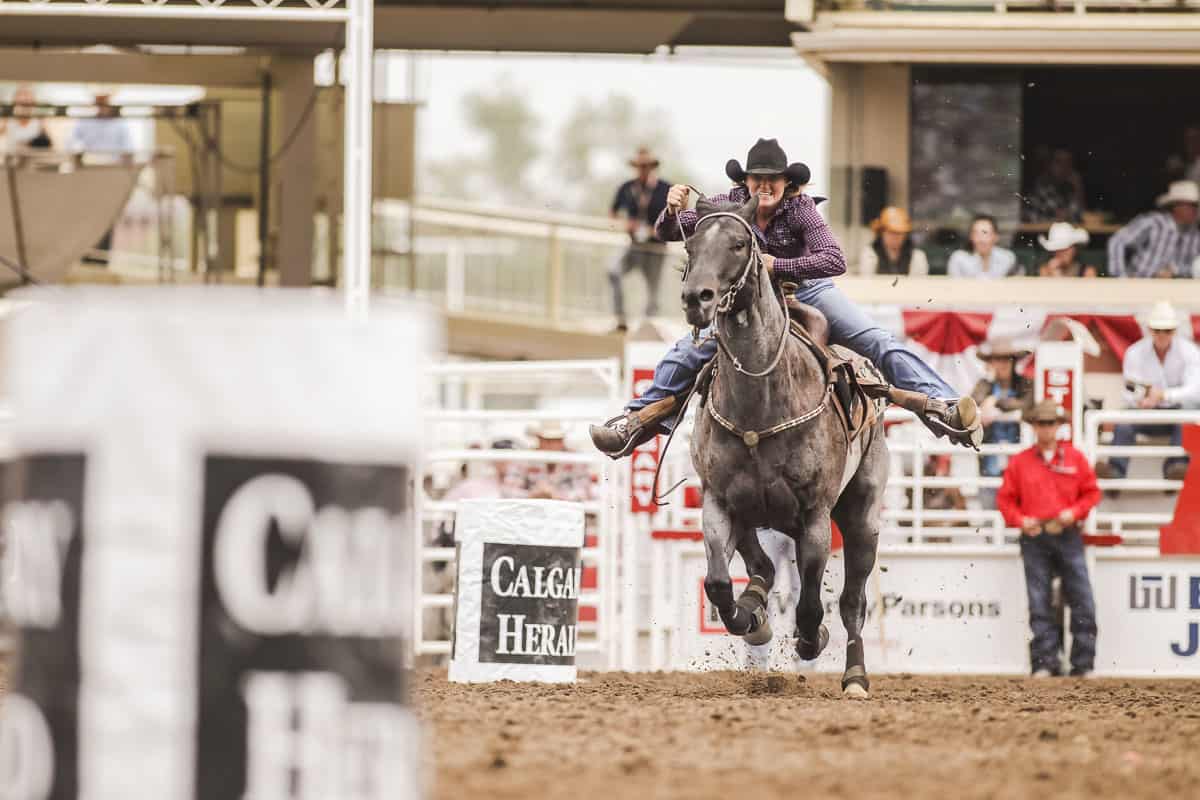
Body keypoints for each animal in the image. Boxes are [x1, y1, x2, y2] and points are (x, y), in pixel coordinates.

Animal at [681, 196, 888, 695]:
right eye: (690, 244)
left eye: (739, 244)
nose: (697, 299)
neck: (761, 402)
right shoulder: (719, 502)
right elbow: (718, 584)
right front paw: (749, 619)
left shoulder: (814, 515)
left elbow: (812, 605)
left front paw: (811, 641)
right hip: (755, 515)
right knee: (764, 569)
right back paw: (756, 608)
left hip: (862, 516)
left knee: (853, 602)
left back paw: (855, 676)